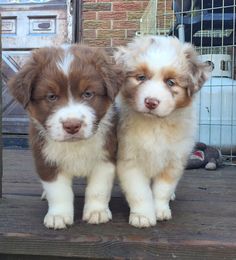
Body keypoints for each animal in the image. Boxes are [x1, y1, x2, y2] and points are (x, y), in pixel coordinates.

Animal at [8, 44, 123, 230]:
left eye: (88, 94)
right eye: (51, 97)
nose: (72, 125)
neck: (75, 145)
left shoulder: (105, 157)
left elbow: (98, 189)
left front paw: (97, 212)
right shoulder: (46, 159)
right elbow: (58, 191)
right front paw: (58, 216)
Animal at [115, 36, 210, 228]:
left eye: (170, 82)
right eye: (141, 77)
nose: (151, 102)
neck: (155, 124)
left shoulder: (174, 161)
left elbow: (162, 190)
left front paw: (160, 211)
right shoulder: (129, 159)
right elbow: (139, 191)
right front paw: (143, 216)